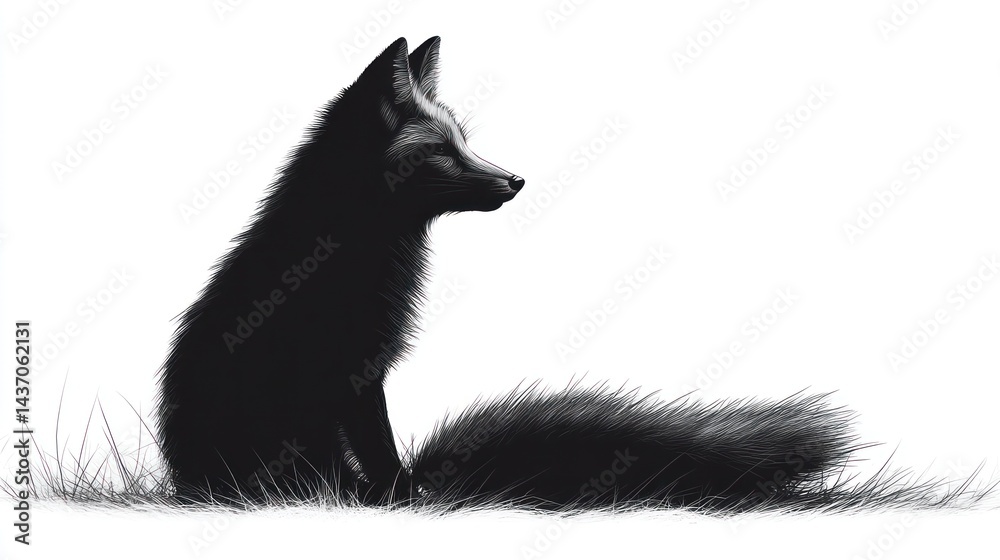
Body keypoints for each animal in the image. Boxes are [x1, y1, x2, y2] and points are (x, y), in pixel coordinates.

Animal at [157, 37, 986, 510]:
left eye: (467, 140)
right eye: (444, 153)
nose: (516, 180)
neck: (350, 252)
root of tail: (189, 482)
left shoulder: (367, 379)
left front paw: (402, 499)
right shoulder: (353, 378)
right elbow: (382, 458)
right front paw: (397, 504)